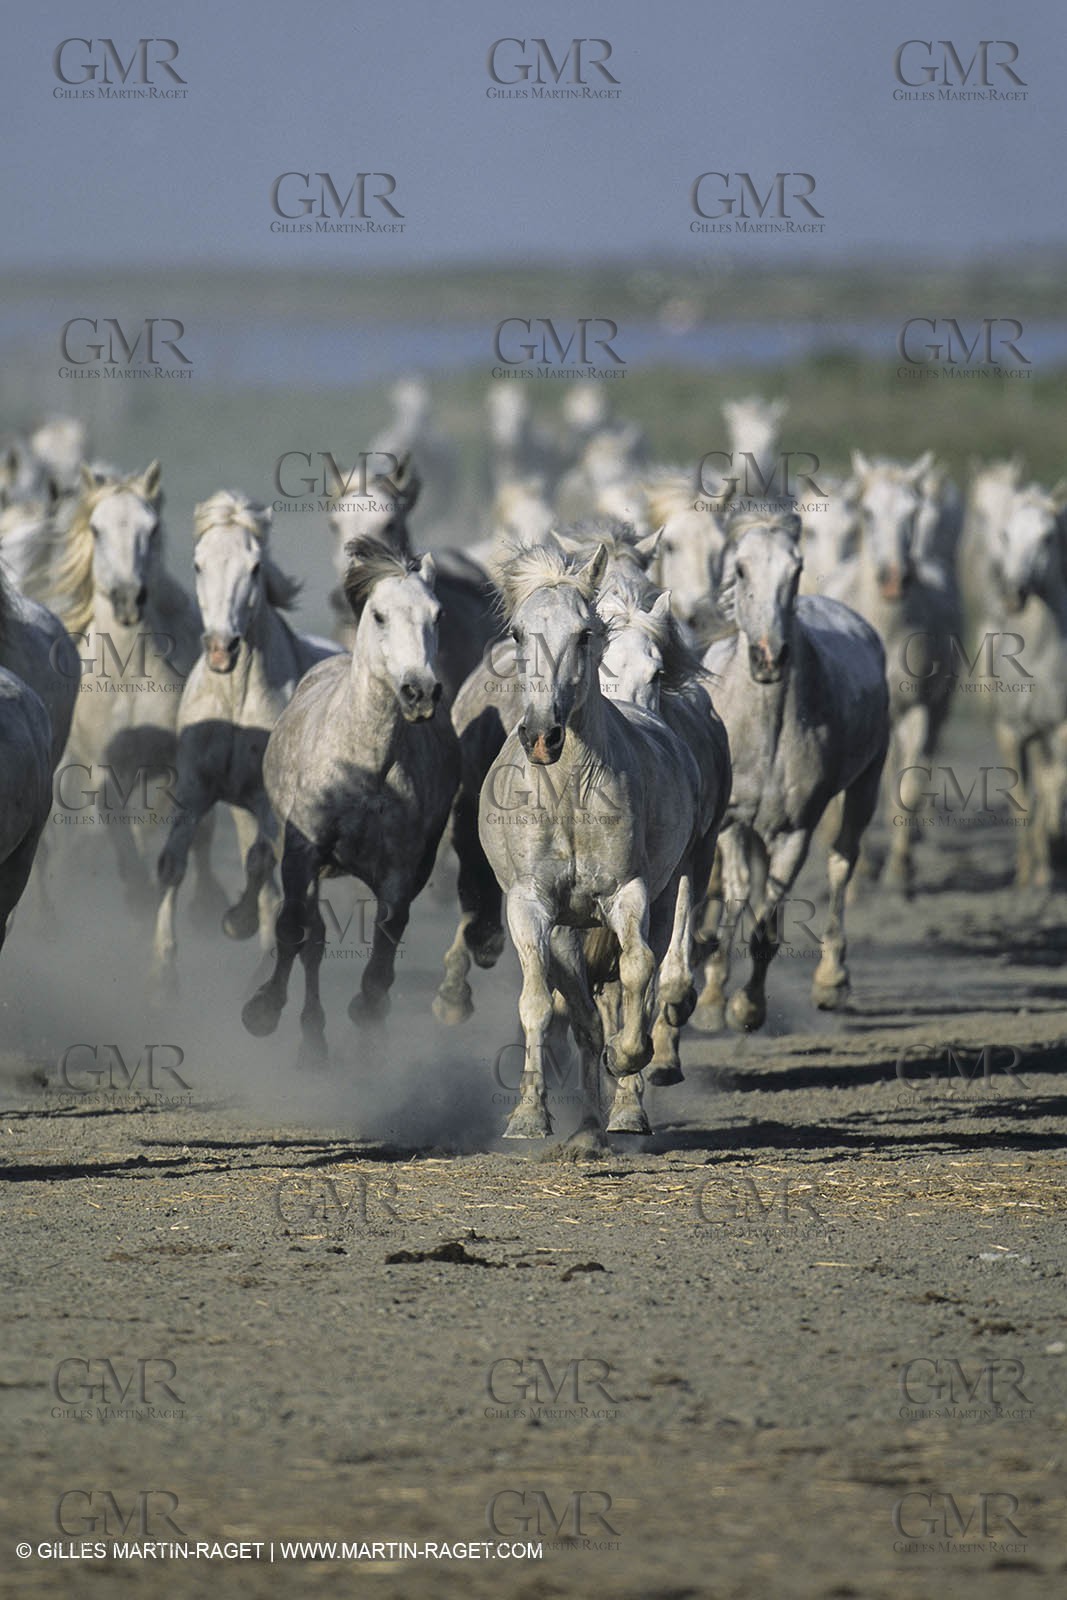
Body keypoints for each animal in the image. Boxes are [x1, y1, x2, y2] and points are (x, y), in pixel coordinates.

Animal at [153, 492, 341, 983]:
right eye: (198, 563)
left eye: (255, 567)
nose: (222, 648)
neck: (235, 700)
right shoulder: (195, 789)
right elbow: (172, 863)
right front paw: (163, 972)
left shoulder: (268, 801)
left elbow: (260, 864)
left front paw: (236, 923)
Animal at [241, 537, 459, 1066]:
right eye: (379, 615)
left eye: (438, 613)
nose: (420, 692)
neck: (366, 768)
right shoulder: (302, 850)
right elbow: (294, 930)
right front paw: (263, 1010)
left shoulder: (403, 869)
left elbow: (385, 944)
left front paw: (368, 1012)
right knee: (312, 939)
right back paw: (310, 1040)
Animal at [479, 542, 703, 1140]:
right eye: (517, 633)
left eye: (584, 634)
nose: (541, 736)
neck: (567, 798)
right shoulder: (530, 905)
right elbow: (538, 1004)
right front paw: (528, 1115)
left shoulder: (628, 893)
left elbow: (637, 971)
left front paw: (626, 1062)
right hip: (564, 932)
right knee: (579, 1012)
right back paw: (586, 1118)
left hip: (661, 900)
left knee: (639, 982)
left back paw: (622, 1109)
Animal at [694, 512, 889, 1033]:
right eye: (740, 569)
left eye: (796, 569)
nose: (769, 656)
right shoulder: (733, 819)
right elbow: (740, 892)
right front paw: (712, 998)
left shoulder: (797, 826)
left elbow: (766, 921)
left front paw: (748, 1006)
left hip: (867, 783)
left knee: (843, 859)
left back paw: (831, 979)